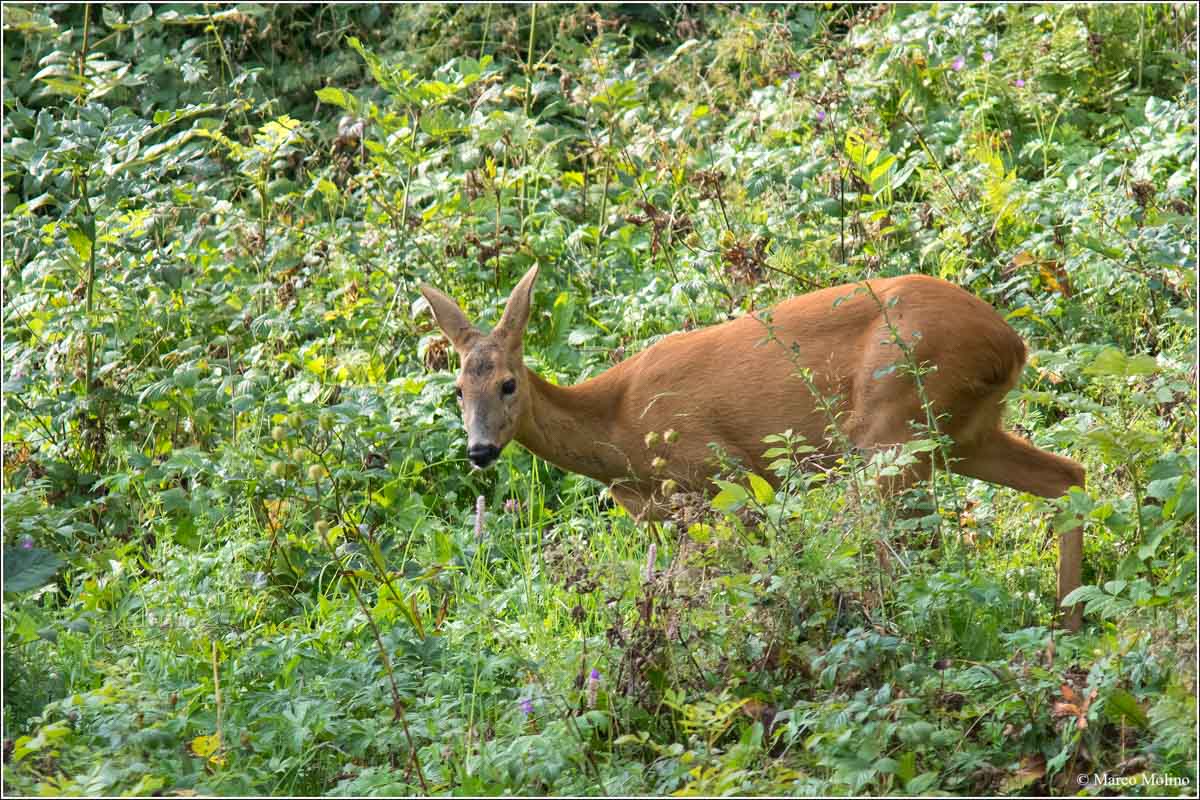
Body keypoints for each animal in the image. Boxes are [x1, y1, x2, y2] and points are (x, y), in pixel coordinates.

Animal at [422, 266, 1089, 628]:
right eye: (456, 389)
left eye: (508, 383)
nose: (480, 449)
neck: (617, 430)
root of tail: (1011, 344)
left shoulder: (720, 475)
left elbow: (701, 587)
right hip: (963, 433)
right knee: (1069, 474)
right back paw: (1066, 622)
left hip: (894, 426)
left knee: (894, 549)